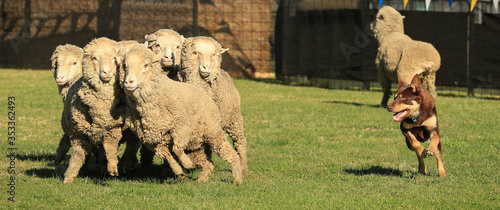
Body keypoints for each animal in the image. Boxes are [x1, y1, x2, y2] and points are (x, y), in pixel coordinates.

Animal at [123, 45, 244, 185]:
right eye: (125, 66)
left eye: (146, 65)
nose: (128, 82)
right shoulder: (154, 142)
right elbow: (168, 156)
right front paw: (179, 170)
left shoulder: (182, 129)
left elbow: (177, 149)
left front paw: (187, 164)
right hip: (193, 144)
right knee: (208, 162)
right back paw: (202, 179)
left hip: (212, 132)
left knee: (230, 153)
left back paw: (237, 178)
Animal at [180, 36, 250, 176]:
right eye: (195, 52)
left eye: (213, 55)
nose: (206, 67)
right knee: (208, 146)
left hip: (234, 119)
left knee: (240, 141)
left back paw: (243, 167)